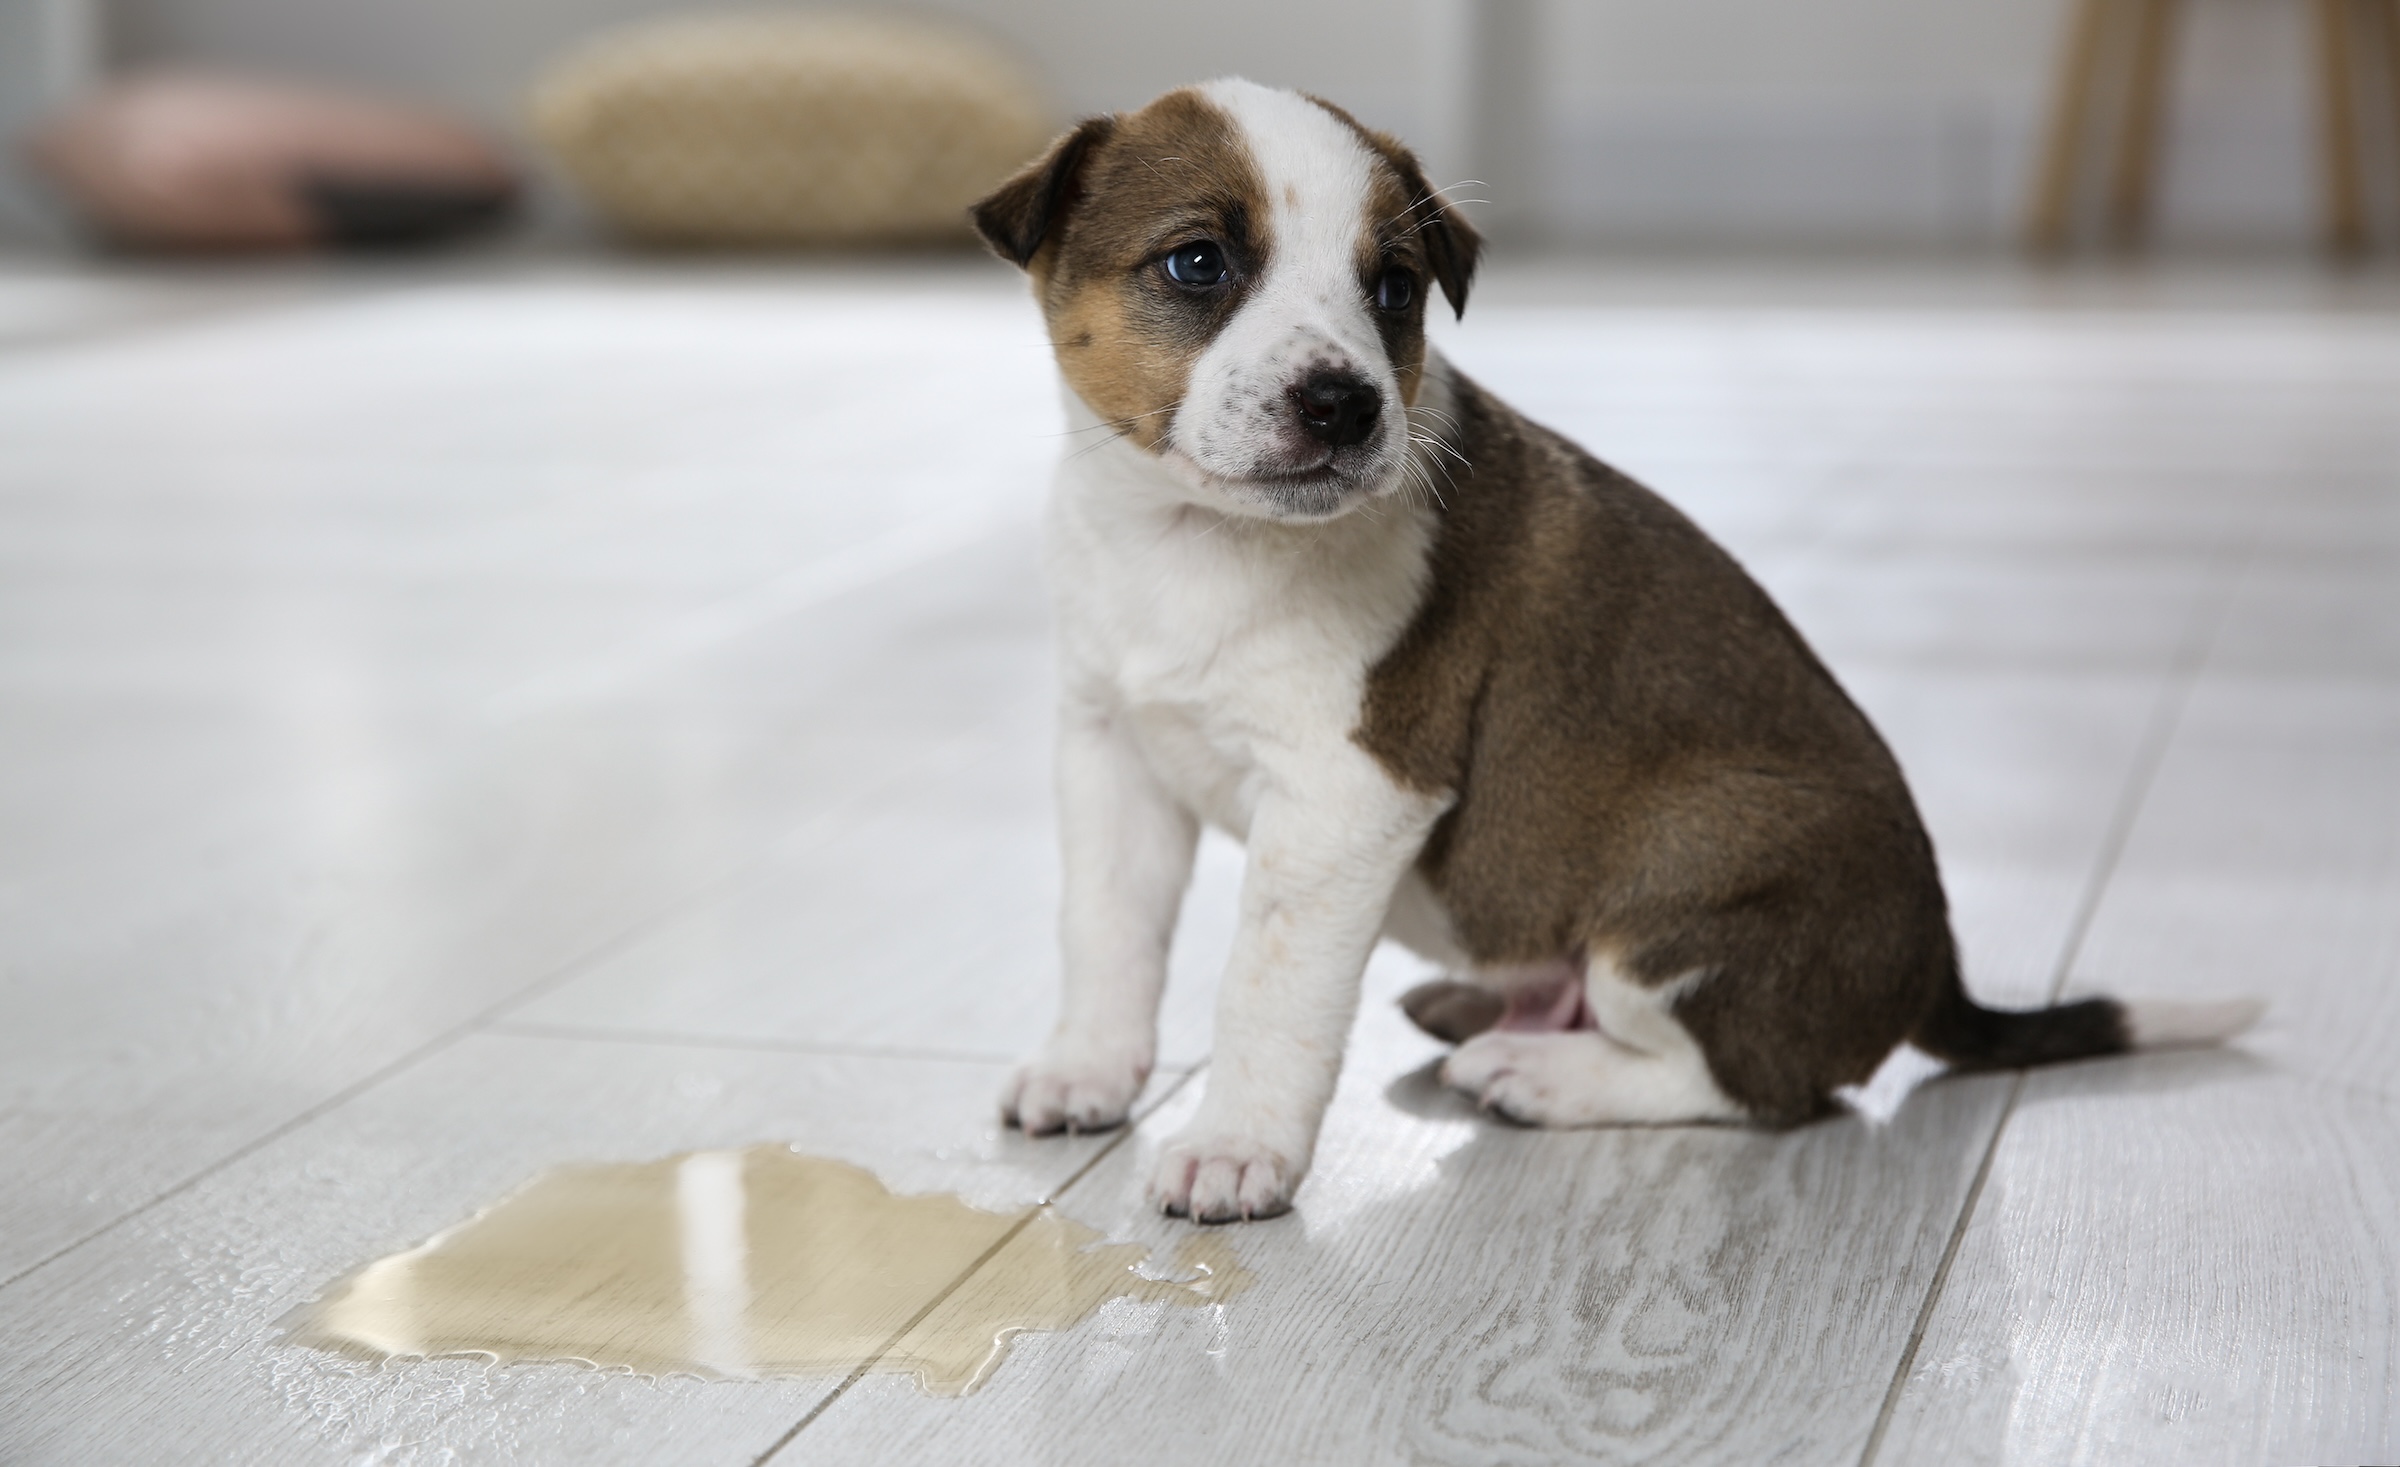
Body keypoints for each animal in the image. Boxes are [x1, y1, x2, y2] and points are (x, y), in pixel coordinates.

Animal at [964, 83, 2256, 1229]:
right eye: (1197, 265)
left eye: (1393, 288)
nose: (1345, 405)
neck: (1188, 540)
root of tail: (1936, 968)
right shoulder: (1112, 753)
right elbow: (1107, 933)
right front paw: (1088, 1069)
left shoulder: (1346, 799)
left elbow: (1266, 992)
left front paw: (1238, 1148)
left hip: (1688, 881)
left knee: (1760, 1087)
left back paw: (1540, 1075)